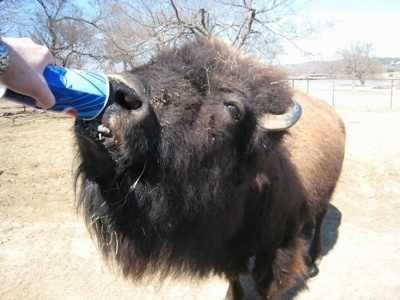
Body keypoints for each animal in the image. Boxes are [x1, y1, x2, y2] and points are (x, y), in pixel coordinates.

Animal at [73, 38, 346, 300]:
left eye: (234, 109)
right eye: (153, 62)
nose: (119, 92)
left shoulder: (277, 248)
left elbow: (269, 287)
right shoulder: (226, 245)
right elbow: (233, 273)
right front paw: (231, 296)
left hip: (327, 194)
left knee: (320, 219)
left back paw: (314, 258)